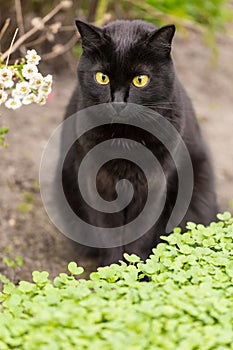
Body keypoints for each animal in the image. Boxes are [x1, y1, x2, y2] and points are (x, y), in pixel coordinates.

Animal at [61, 19, 218, 266]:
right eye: (102, 77)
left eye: (140, 80)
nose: (117, 102)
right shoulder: (97, 184)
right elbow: (108, 234)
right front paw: (112, 270)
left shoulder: (154, 184)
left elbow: (141, 235)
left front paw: (137, 270)